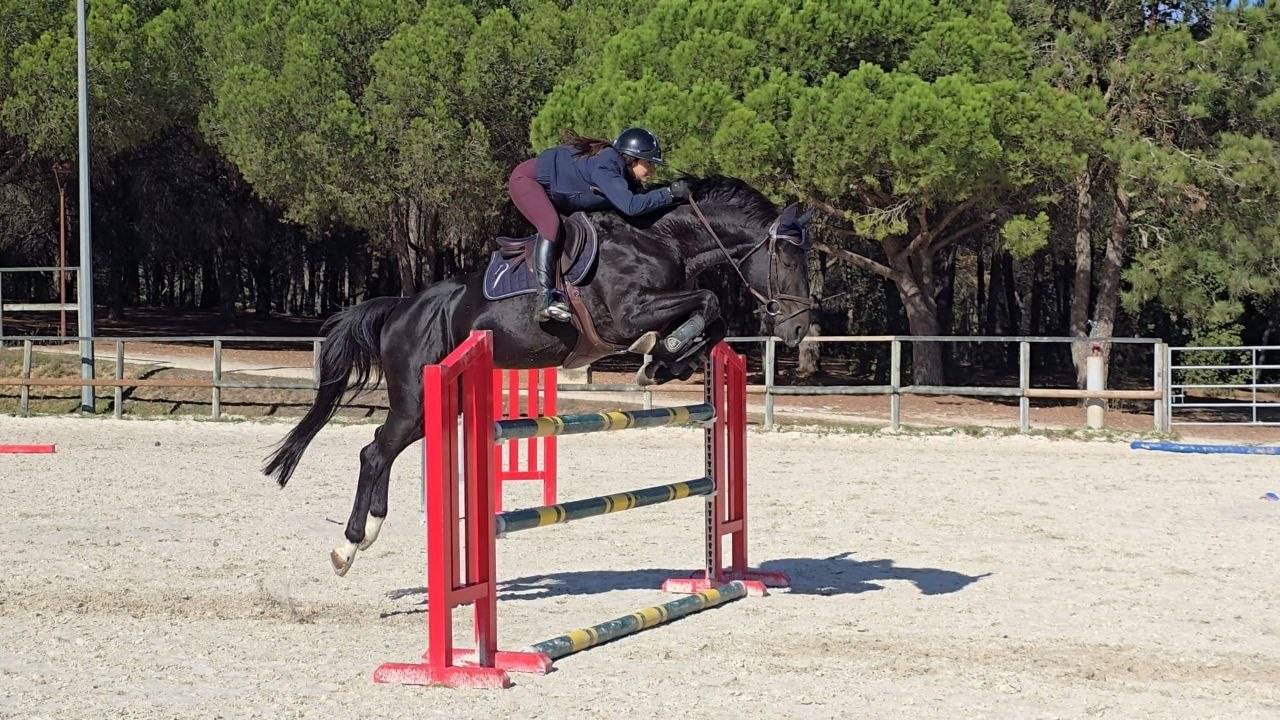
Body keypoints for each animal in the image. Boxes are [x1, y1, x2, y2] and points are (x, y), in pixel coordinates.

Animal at [264, 176, 814, 576]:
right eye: (789, 258)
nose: (798, 328)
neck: (659, 239)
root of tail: (401, 307)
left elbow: (711, 317)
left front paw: (663, 362)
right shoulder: (626, 316)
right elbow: (710, 300)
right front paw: (661, 354)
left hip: (428, 407)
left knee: (384, 449)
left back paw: (371, 530)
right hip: (415, 398)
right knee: (375, 451)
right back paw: (348, 546)